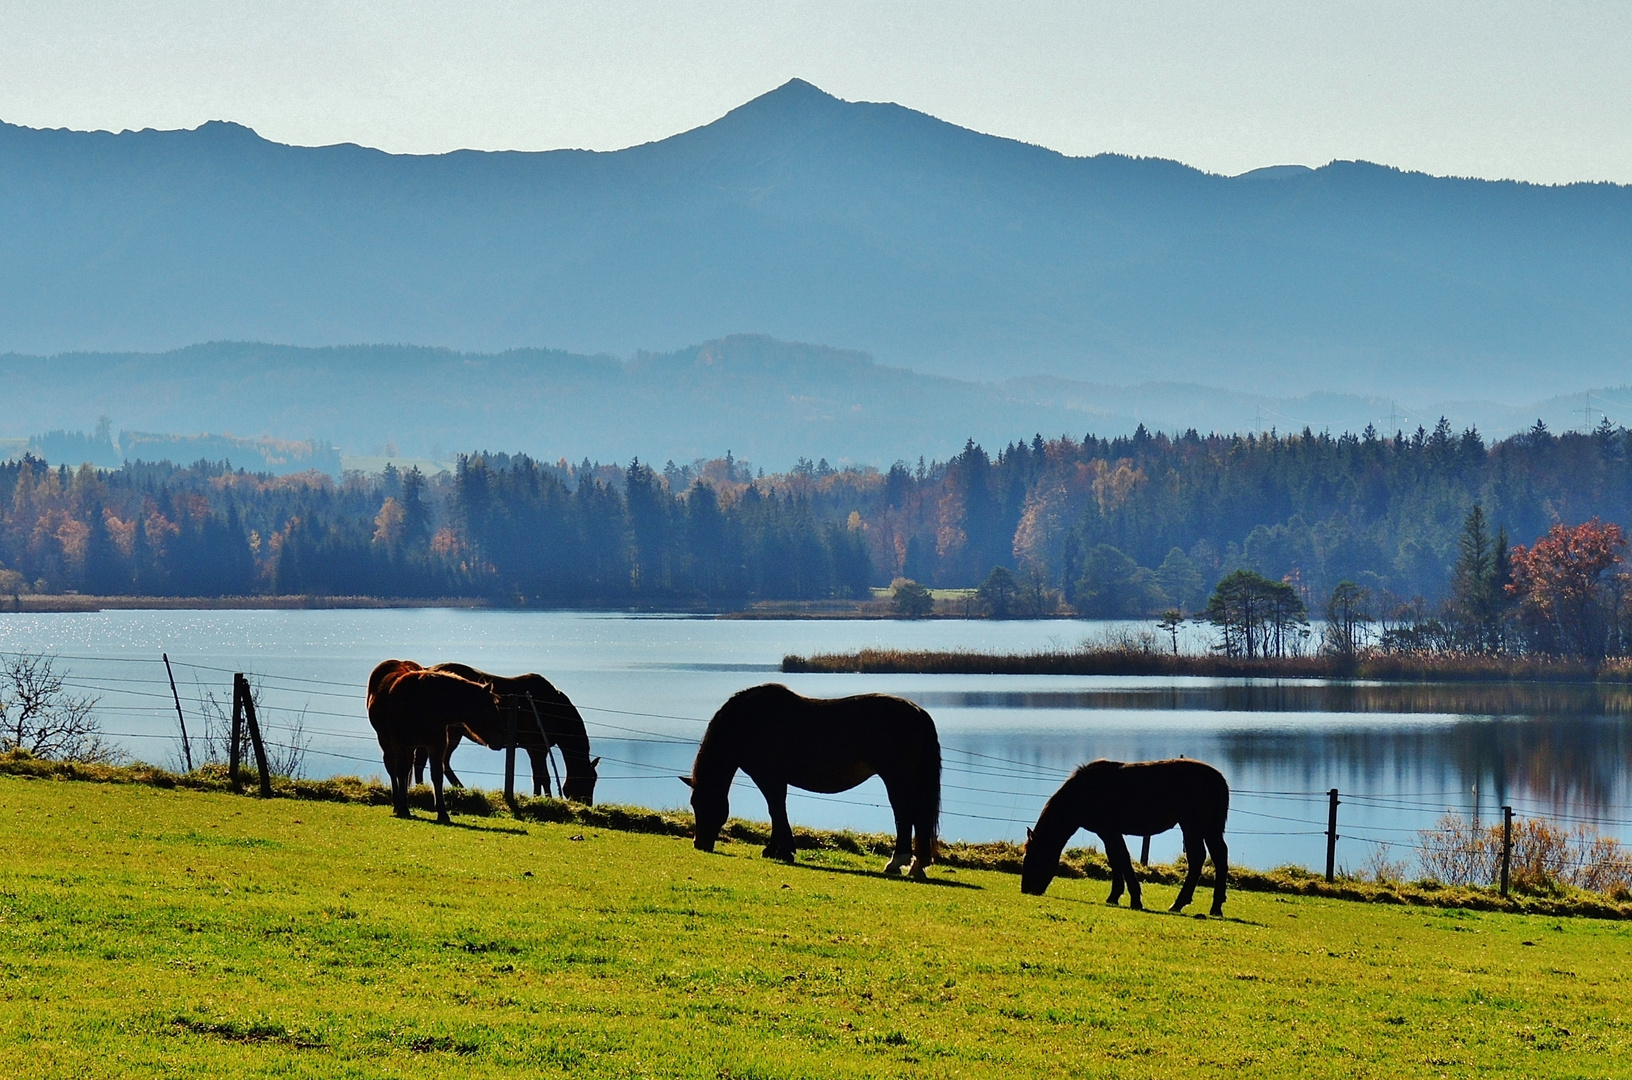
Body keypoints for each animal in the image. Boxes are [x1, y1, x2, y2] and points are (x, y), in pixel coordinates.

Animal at [368, 659, 502, 828]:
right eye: (489, 710)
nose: (500, 740)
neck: (422, 702)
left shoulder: (437, 745)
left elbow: (437, 775)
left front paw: (442, 813)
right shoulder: (400, 743)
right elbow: (401, 772)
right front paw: (403, 809)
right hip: (386, 742)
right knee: (393, 770)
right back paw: (398, 805)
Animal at [411, 665, 603, 809]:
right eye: (588, 781)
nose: (587, 804)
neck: (552, 708)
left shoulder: (539, 748)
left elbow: (542, 777)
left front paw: (544, 799)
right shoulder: (536, 748)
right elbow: (541, 777)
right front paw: (540, 799)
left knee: (431, 762)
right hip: (451, 734)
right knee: (435, 762)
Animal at [682, 685, 946, 880]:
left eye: (700, 804)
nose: (699, 844)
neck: (748, 722)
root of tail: (919, 713)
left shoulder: (768, 777)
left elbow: (776, 809)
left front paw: (780, 850)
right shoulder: (775, 779)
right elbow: (778, 810)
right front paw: (778, 849)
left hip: (896, 778)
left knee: (904, 815)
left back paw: (896, 862)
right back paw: (917, 866)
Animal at [1011, 756, 1227, 920]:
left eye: (1032, 858)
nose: (1026, 889)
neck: (1083, 792)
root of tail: (1217, 778)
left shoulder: (1110, 831)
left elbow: (1122, 859)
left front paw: (1134, 899)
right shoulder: (1108, 833)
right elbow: (1115, 859)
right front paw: (1115, 896)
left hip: (1192, 825)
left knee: (1198, 857)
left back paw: (1181, 903)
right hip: (1209, 829)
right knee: (1217, 856)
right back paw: (1215, 906)